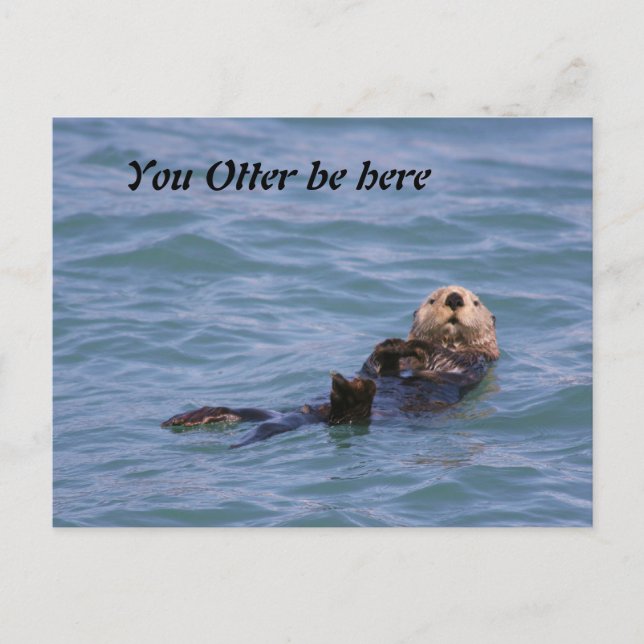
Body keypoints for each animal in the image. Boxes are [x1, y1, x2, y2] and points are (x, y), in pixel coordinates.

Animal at [161, 285, 498, 447]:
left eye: (476, 302)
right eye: (432, 300)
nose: (454, 298)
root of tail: (315, 415)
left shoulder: (471, 360)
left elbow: (443, 356)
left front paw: (406, 344)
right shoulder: (376, 367)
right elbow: (374, 366)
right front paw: (389, 346)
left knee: (349, 415)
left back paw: (350, 393)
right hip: (279, 411)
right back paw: (193, 416)